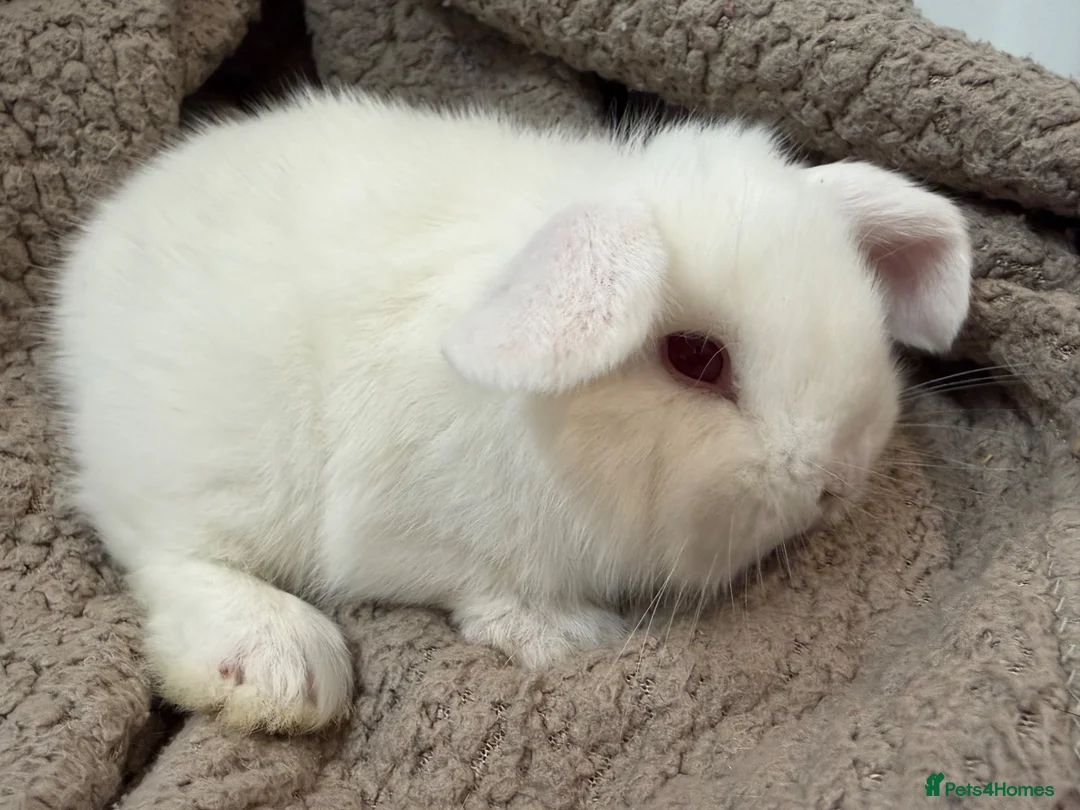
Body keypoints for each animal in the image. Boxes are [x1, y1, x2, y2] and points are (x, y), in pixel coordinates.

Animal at [50, 88, 972, 735]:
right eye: (697, 359)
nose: (836, 482)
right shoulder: (427, 536)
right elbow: (489, 593)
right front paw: (570, 638)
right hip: (215, 472)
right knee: (170, 558)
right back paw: (282, 670)